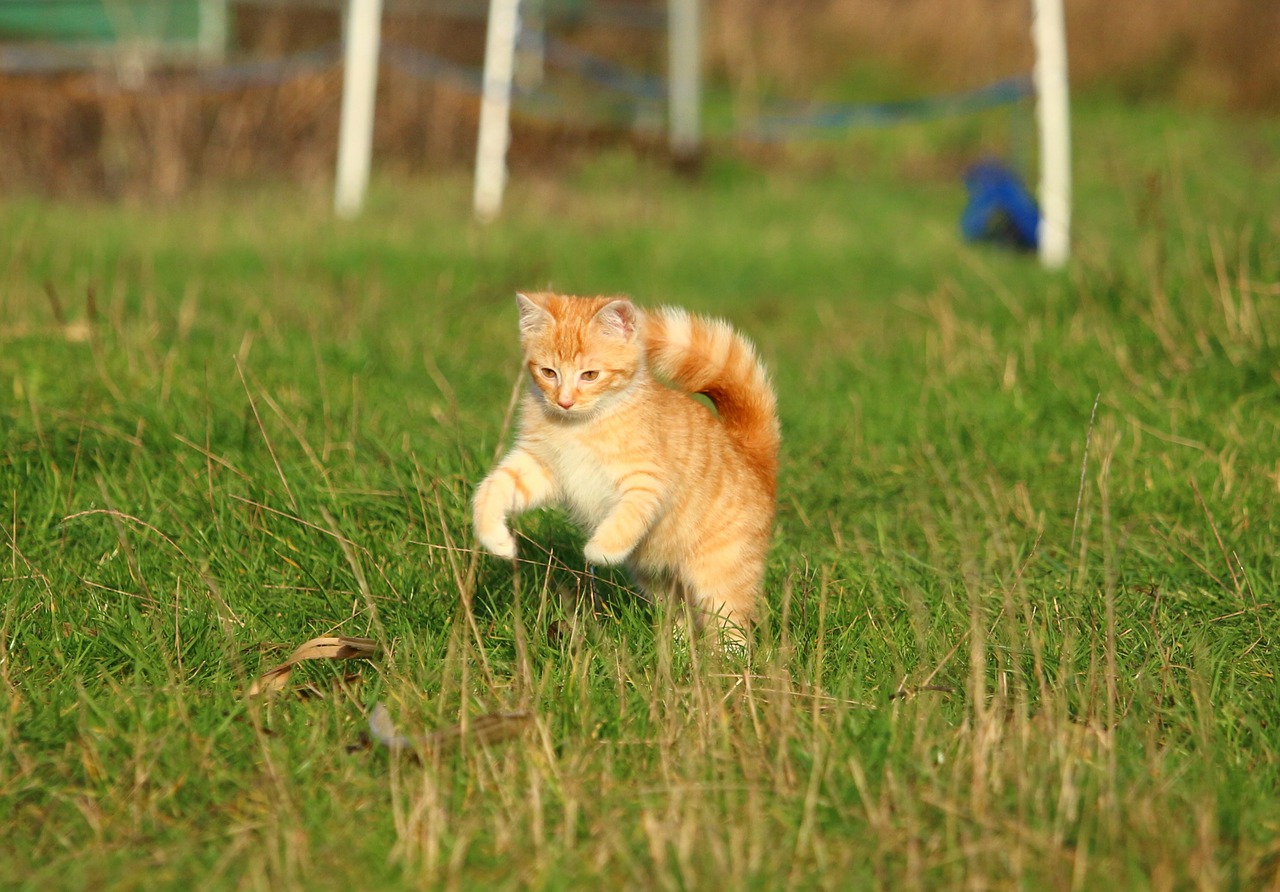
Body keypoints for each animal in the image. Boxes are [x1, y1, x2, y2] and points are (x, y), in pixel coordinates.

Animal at [473, 291, 778, 639]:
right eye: (549, 372)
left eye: (590, 375)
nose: (565, 401)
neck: (579, 425)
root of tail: (753, 455)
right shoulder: (540, 466)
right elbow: (492, 488)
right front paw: (496, 539)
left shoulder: (647, 481)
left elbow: (626, 518)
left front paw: (599, 550)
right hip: (660, 580)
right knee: (681, 615)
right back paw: (674, 646)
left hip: (720, 575)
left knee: (731, 626)